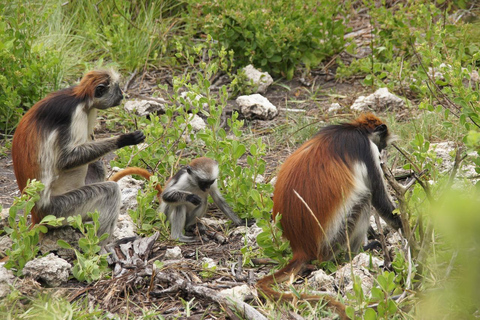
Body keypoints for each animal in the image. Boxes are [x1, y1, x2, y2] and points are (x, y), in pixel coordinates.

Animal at [11, 69, 144, 241]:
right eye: (117, 88)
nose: (122, 95)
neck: (80, 98)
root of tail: (36, 214)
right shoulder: (74, 114)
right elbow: (65, 161)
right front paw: (124, 139)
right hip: (58, 210)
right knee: (110, 191)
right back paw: (103, 246)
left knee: (97, 166)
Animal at [256, 112, 404, 318]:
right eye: (381, 145)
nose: (383, 151)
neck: (354, 129)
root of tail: (301, 247)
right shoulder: (367, 149)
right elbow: (380, 200)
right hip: (333, 242)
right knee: (364, 199)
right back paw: (357, 252)